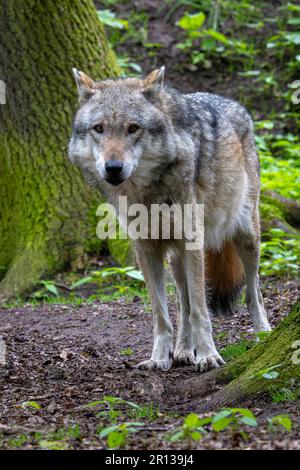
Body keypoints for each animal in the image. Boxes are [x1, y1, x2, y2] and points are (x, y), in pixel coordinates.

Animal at [69, 67, 270, 374]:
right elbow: (162, 314)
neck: (148, 193)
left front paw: (208, 355)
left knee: (254, 292)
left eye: (133, 128)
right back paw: (184, 351)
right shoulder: (146, 248)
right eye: (99, 128)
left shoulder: (192, 242)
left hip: (246, 236)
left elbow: (201, 309)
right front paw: (160, 358)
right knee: (182, 305)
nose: (113, 168)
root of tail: (235, 104)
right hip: (176, 258)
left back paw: (263, 335)